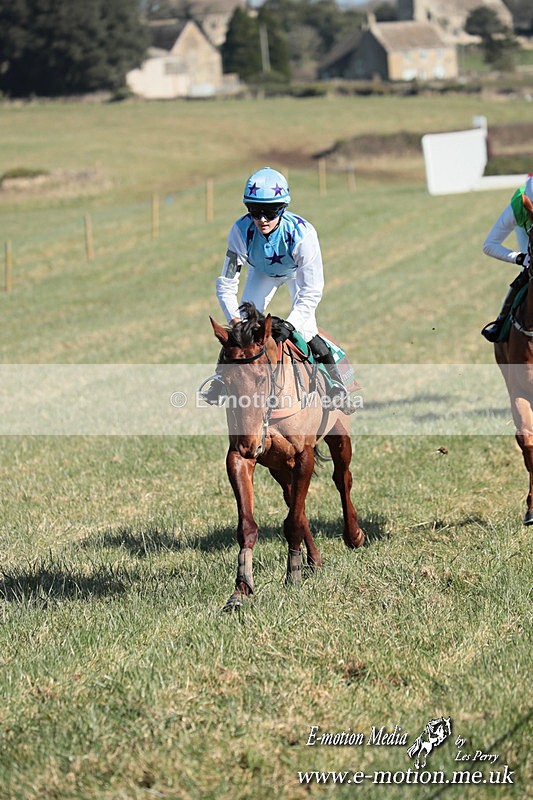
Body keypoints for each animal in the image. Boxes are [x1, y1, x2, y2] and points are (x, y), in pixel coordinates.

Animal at [208, 303, 364, 611]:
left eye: (260, 378)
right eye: (227, 381)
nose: (249, 444)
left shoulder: (304, 455)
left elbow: (293, 521)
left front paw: (292, 575)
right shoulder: (239, 458)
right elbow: (249, 525)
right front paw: (241, 588)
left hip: (338, 434)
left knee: (342, 478)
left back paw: (353, 536)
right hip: (279, 466)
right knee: (295, 501)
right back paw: (314, 561)